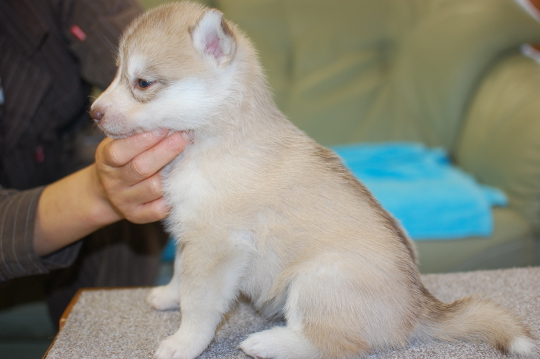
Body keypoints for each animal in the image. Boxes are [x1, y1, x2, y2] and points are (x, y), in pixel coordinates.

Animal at [89, 2, 536, 359]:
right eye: (116, 73)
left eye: (142, 83)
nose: (94, 112)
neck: (216, 137)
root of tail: (417, 308)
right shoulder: (191, 234)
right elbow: (181, 274)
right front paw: (169, 295)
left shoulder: (215, 245)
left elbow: (200, 305)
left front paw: (184, 343)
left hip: (318, 279)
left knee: (334, 344)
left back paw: (270, 343)